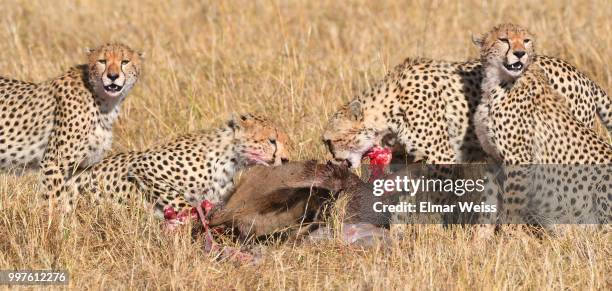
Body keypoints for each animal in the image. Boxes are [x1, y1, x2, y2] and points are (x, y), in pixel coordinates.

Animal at [0, 42, 142, 198]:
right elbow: (54, 198)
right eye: (102, 61)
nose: (112, 76)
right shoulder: (53, 163)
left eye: (125, 62)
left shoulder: (80, 168)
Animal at [474, 24, 612, 226]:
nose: (520, 53)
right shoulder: (492, 158)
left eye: (526, 41)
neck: (496, 84)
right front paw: (482, 234)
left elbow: (512, 205)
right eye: (504, 40)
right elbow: (488, 201)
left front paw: (509, 233)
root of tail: (588, 80)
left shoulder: (519, 159)